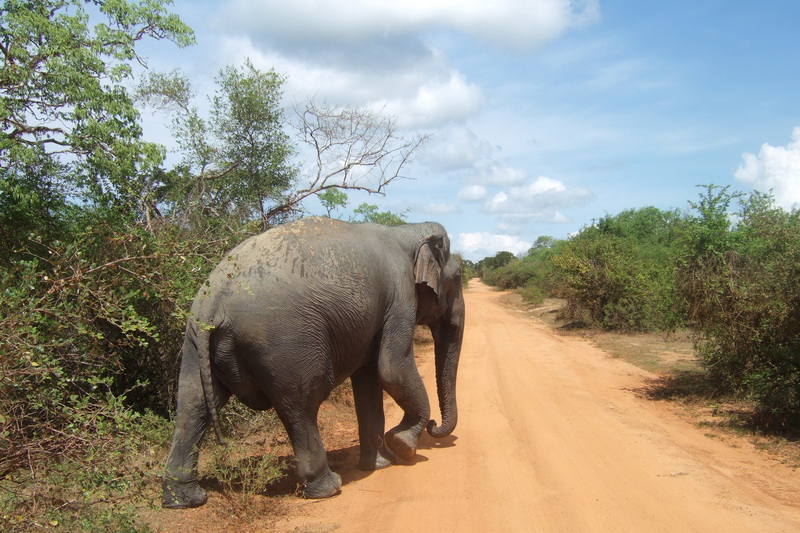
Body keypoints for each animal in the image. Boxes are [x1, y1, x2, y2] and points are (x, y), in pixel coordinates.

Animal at [161, 215, 462, 508]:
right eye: (458, 276)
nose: (434, 426)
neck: (406, 230)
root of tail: (213, 301)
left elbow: (369, 379)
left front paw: (380, 464)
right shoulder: (400, 296)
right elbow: (391, 369)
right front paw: (403, 446)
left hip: (193, 340)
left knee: (193, 403)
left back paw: (184, 499)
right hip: (285, 345)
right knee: (303, 404)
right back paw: (328, 487)